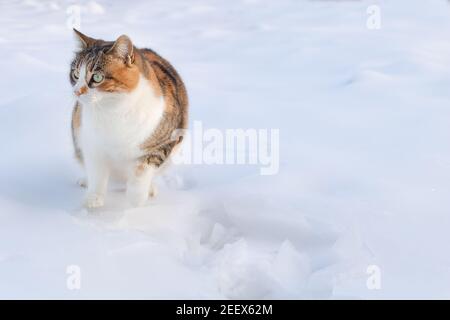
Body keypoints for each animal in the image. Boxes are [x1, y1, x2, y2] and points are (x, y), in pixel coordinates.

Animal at [70, 29, 188, 208]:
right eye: (76, 75)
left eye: (97, 77)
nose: (77, 92)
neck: (114, 110)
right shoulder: (92, 142)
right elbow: (97, 171)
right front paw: (93, 198)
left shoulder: (164, 141)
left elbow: (142, 169)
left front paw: (136, 198)